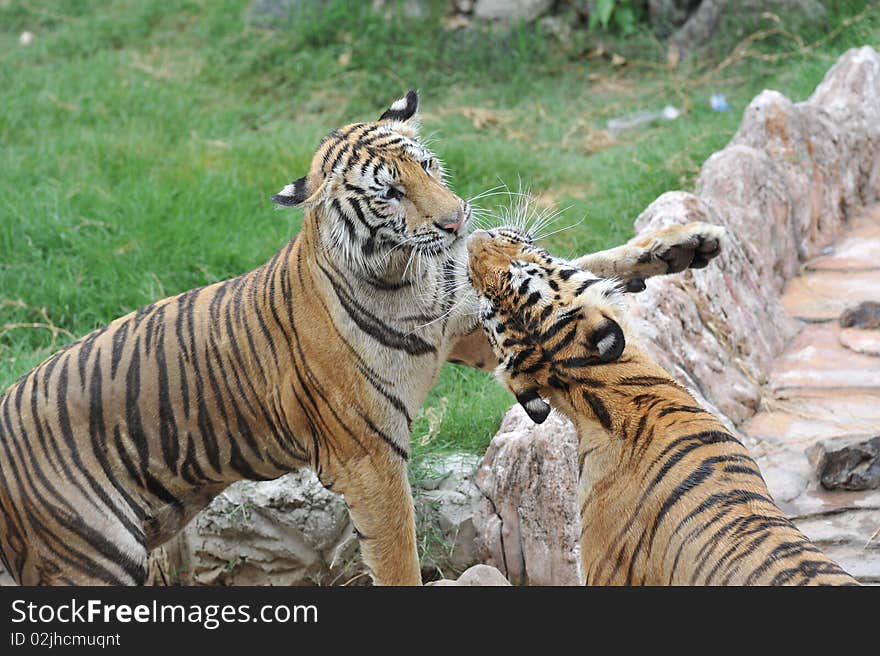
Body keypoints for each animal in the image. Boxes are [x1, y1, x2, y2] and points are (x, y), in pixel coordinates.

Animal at [0, 91, 724, 584]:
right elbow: (398, 557)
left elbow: (576, 266)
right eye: (388, 194)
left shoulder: (466, 324)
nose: (458, 220)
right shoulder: (369, 460)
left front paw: (685, 244)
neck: (408, 281)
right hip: (89, 558)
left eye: (428, 166)